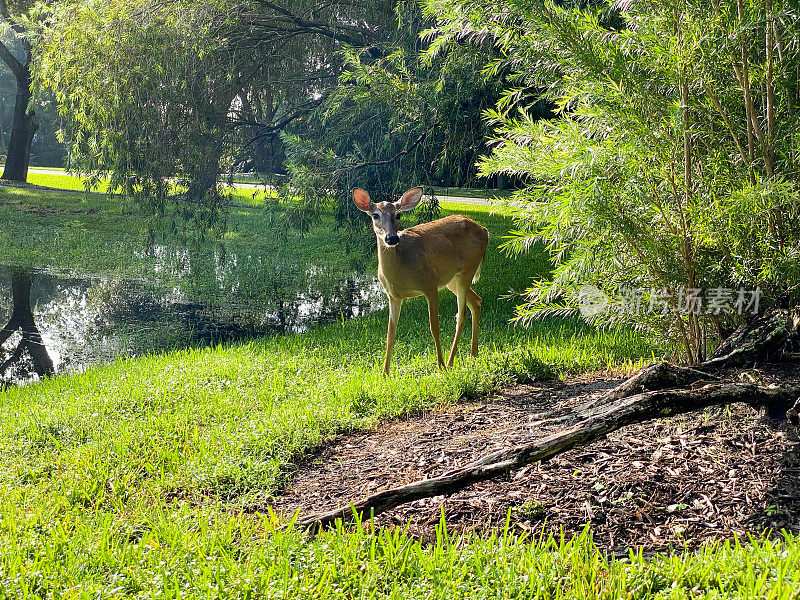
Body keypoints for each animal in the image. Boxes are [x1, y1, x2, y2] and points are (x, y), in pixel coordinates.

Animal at [354, 188, 490, 376]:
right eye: (375, 215)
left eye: (398, 215)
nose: (392, 238)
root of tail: (485, 230)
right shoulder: (393, 296)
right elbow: (390, 333)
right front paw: (385, 373)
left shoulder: (430, 284)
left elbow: (434, 327)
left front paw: (440, 365)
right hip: (452, 279)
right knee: (476, 301)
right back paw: (473, 354)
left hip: (467, 269)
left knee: (461, 314)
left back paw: (450, 362)